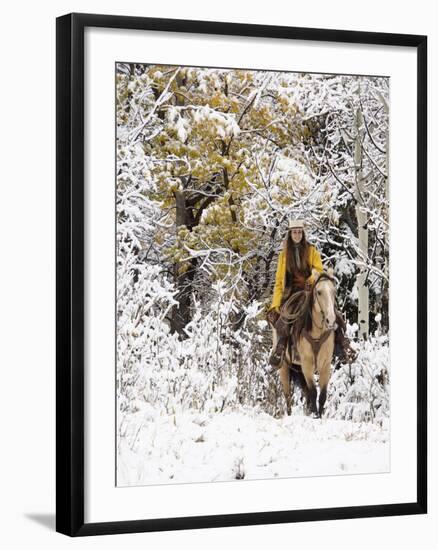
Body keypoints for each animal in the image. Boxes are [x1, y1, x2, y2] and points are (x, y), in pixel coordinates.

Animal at [276, 270, 338, 418]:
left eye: (334, 291)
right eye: (319, 292)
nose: (331, 320)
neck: (317, 333)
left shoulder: (325, 365)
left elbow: (322, 395)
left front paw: (319, 415)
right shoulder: (307, 364)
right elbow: (313, 392)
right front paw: (315, 415)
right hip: (284, 368)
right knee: (288, 396)